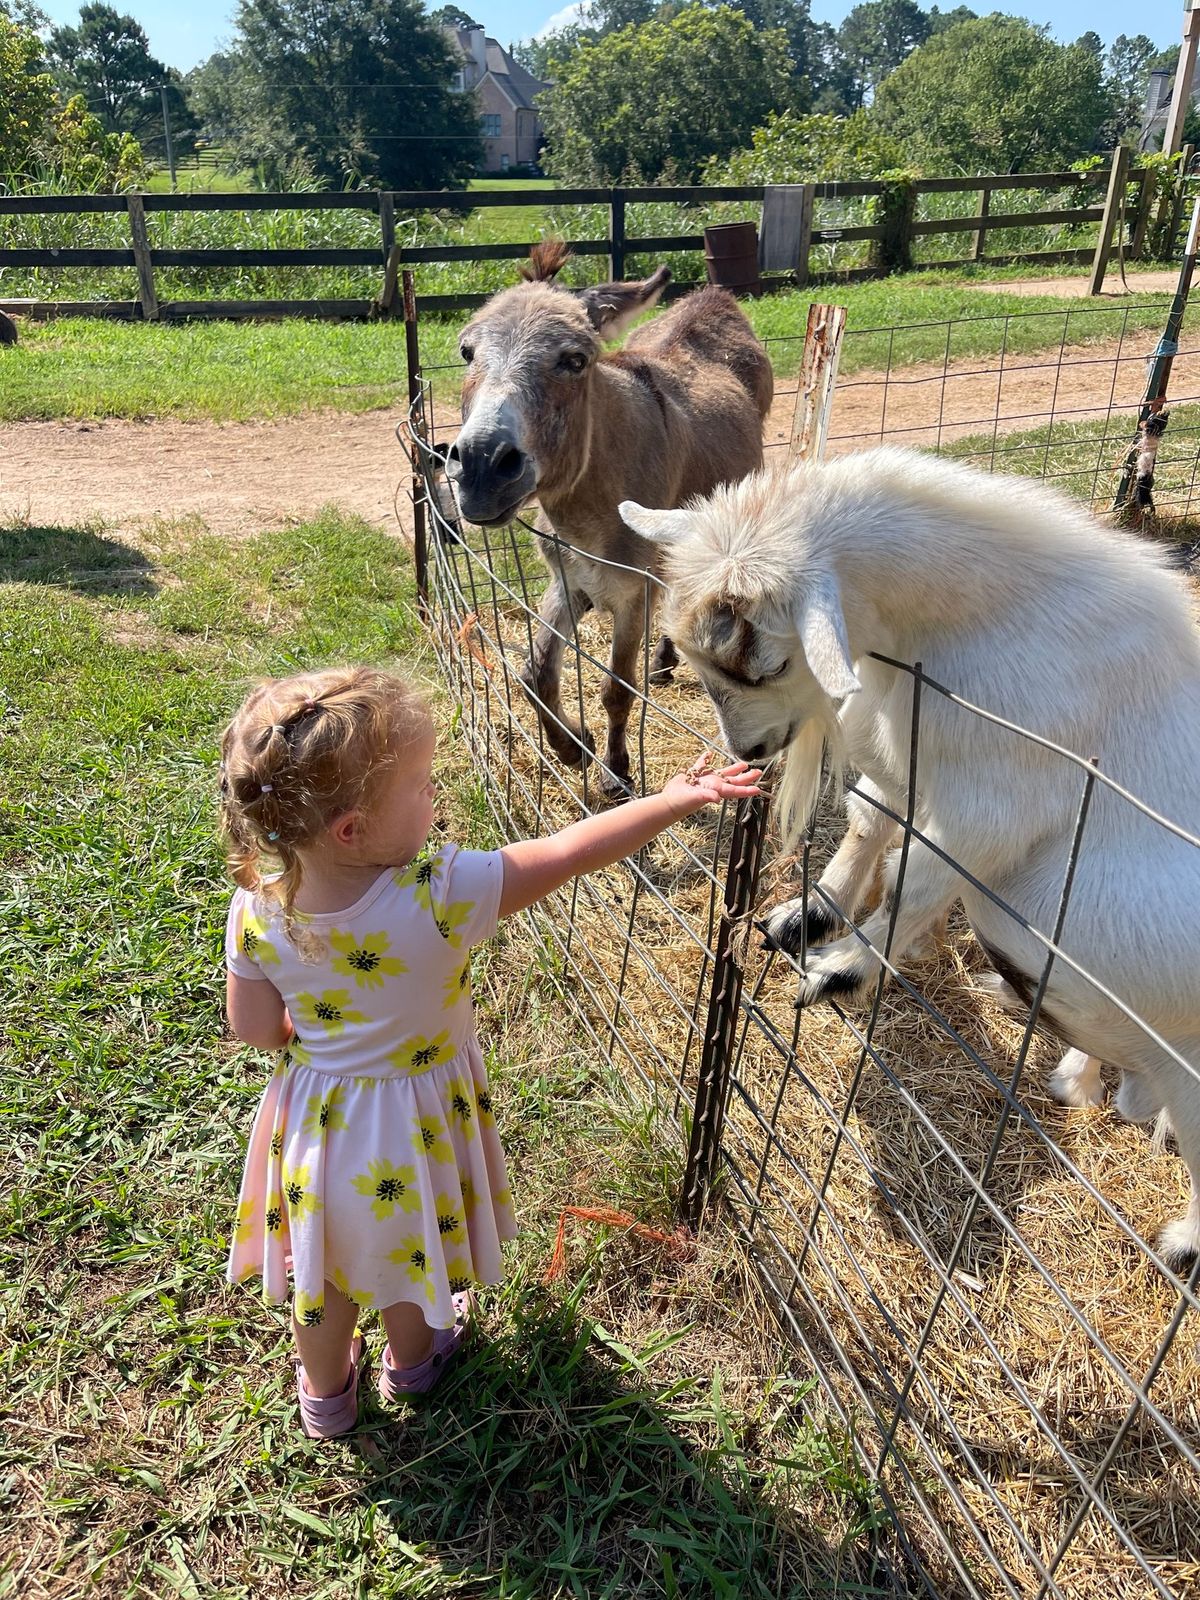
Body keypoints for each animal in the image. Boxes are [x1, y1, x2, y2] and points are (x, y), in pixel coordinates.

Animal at [620, 451, 1200, 1273]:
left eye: (770, 664)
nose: (749, 751)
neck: (977, 627)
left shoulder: (992, 802)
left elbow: (917, 880)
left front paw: (842, 969)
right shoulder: (906, 757)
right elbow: (870, 821)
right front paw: (811, 912)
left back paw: (1182, 1245)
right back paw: (1062, 1063)